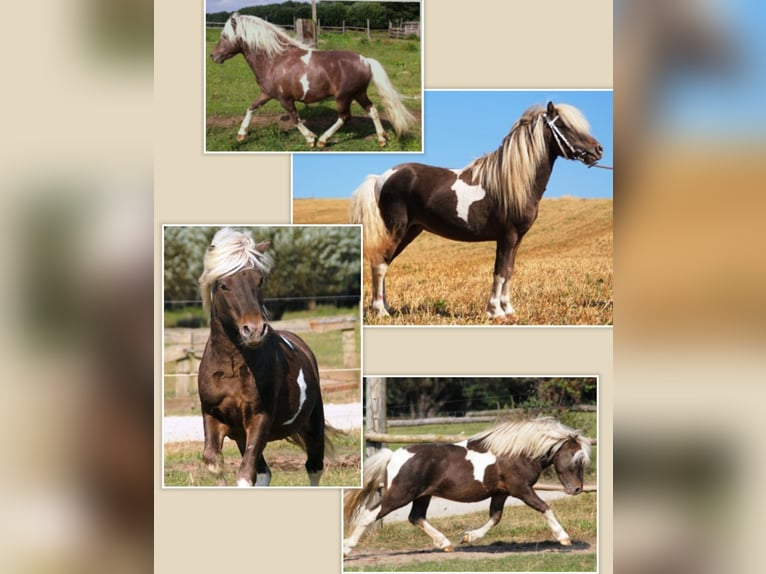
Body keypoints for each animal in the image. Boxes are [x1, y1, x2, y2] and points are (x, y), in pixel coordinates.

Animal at [196, 228, 331, 487]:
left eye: (258, 280)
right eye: (223, 285)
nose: (255, 330)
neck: (232, 368)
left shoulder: (259, 419)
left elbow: (245, 474)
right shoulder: (212, 417)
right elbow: (214, 463)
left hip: (313, 426)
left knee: (313, 467)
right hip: (240, 435)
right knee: (264, 472)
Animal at [209, 13, 416, 148]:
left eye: (224, 36)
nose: (213, 56)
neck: (274, 60)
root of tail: (365, 60)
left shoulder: (285, 99)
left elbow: (295, 118)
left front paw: (311, 139)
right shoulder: (266, 94)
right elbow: (251, 108)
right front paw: (241, 135)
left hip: (344, 97)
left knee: (345, 117)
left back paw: (323, 140)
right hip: (359, 94)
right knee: (372, 110)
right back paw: (381, 138)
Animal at [343, 417, 591, 555]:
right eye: (576, 458)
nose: (577, 489)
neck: (516, 453)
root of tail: (394, 455)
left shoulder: (501, 493)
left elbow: (495, 517)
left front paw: (467, 537)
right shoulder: (521, 489)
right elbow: (545, 507)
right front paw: (564, 538)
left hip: (422, 495)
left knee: (416, 517)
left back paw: (446, 544)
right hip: (399, 495)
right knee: (369, 514)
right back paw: (347, 548)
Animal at [349, 101, 604, 319]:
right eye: (564, 126)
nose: (598, 150)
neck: (512, 181)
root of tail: (381, 178)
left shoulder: (517, 239)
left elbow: (509, 271)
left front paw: (509, 310)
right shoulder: (507, 236)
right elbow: (500, 272)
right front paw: (495, 312)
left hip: (410, 231)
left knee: (384, 263)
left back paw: (386, 308)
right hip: (396, 229)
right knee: (380, 264)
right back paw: (380, 311)